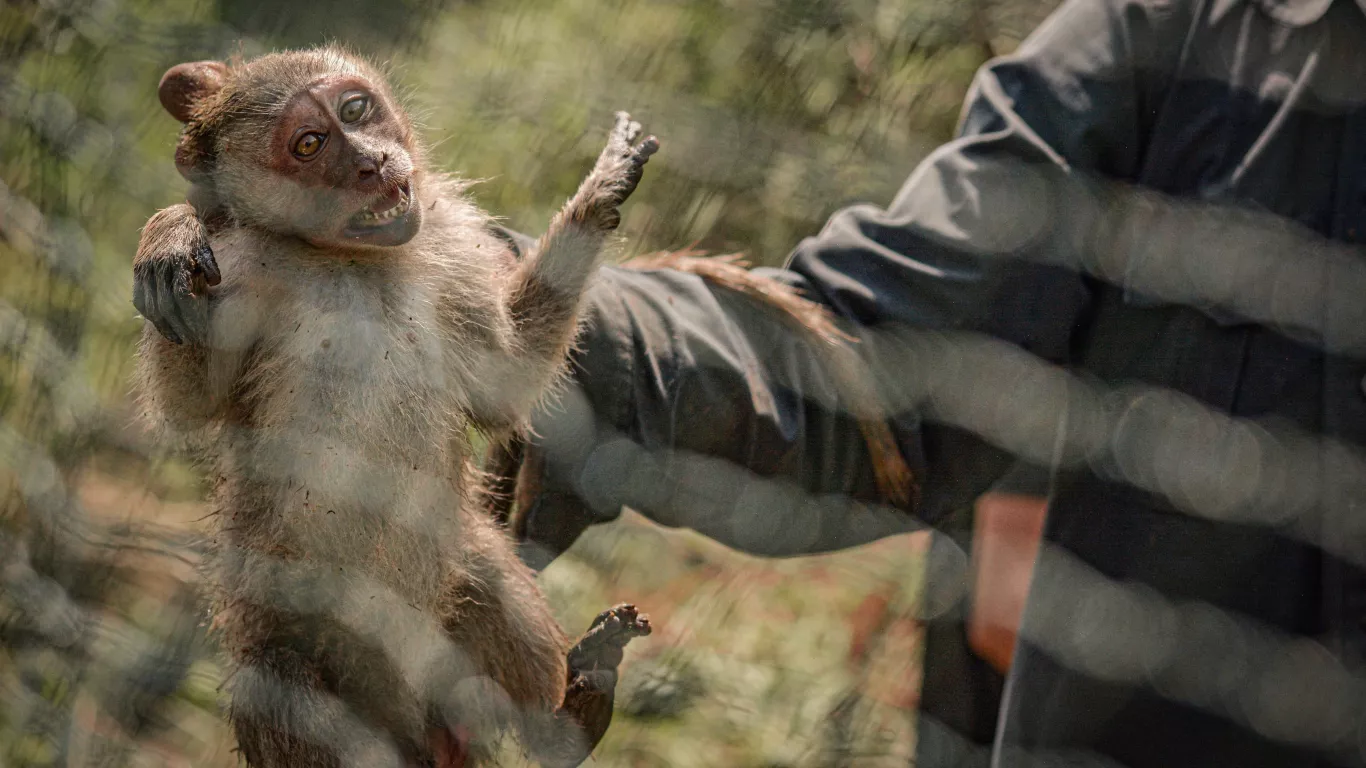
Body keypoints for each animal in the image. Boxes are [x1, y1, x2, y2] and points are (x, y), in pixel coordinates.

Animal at [130, 47, 654, 768]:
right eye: (310, 144)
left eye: (355, 110)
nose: (371, 163)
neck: (352, 259)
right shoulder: (244, 265)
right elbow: (189, 405)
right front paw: (170, 235)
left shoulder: (449, 240)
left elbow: (504, 379)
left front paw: (602, 193)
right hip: (289, 634)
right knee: (282, 684)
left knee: (483, 576)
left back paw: (562, 728)